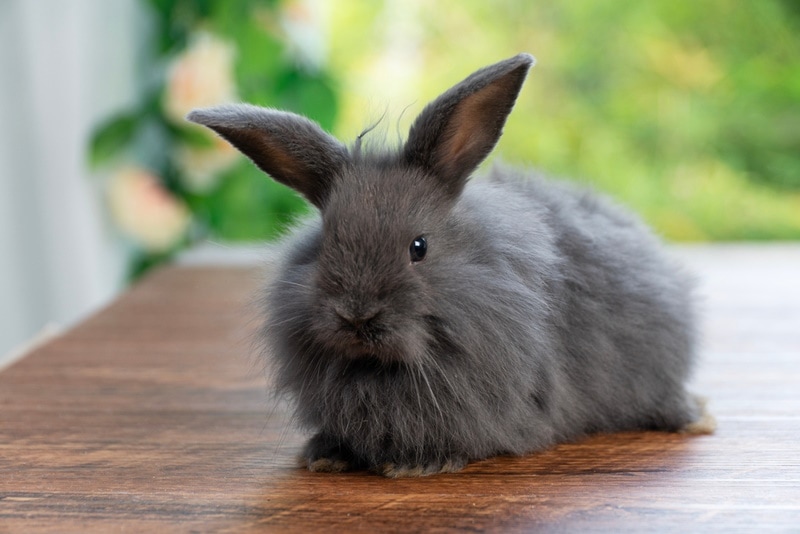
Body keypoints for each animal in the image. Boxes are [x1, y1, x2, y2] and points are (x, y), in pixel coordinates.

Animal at [188, 53, 712, 482]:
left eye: (419, 247)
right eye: (326, 242)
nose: (356, 316)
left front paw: (417, 464)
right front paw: (324, 455)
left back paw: (696, 419)